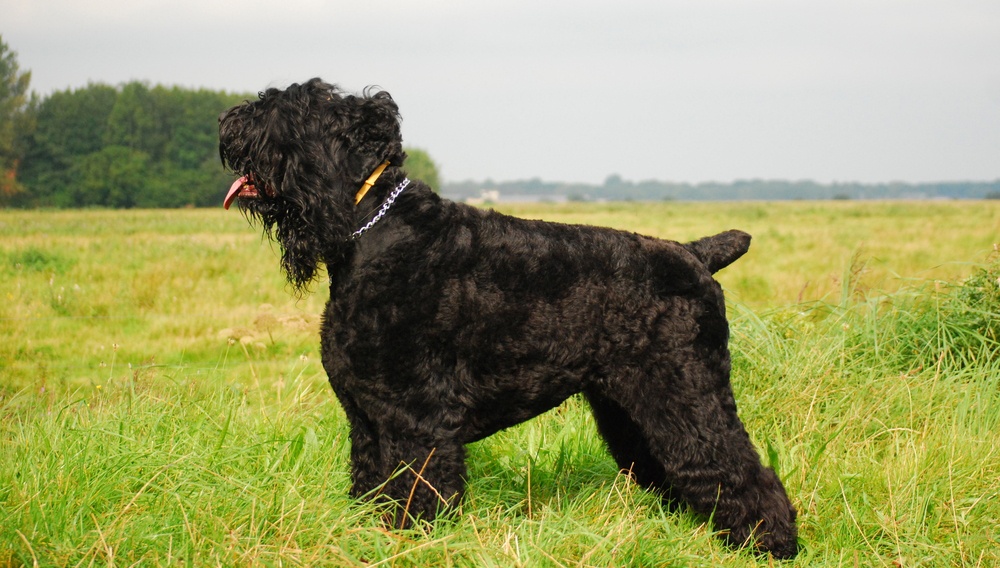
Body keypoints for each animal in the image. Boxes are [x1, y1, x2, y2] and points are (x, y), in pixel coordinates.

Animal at [217, 77, 796, 556]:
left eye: (289, 108)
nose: (228, 121)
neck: (370, 230)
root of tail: (695, 253)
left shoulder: (416, 421)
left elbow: (414, 498)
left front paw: (411, 546)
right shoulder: (367, 421)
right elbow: (371, 487)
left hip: (686, 394)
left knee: (740, 470)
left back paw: (773, 546)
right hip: (629, 409)